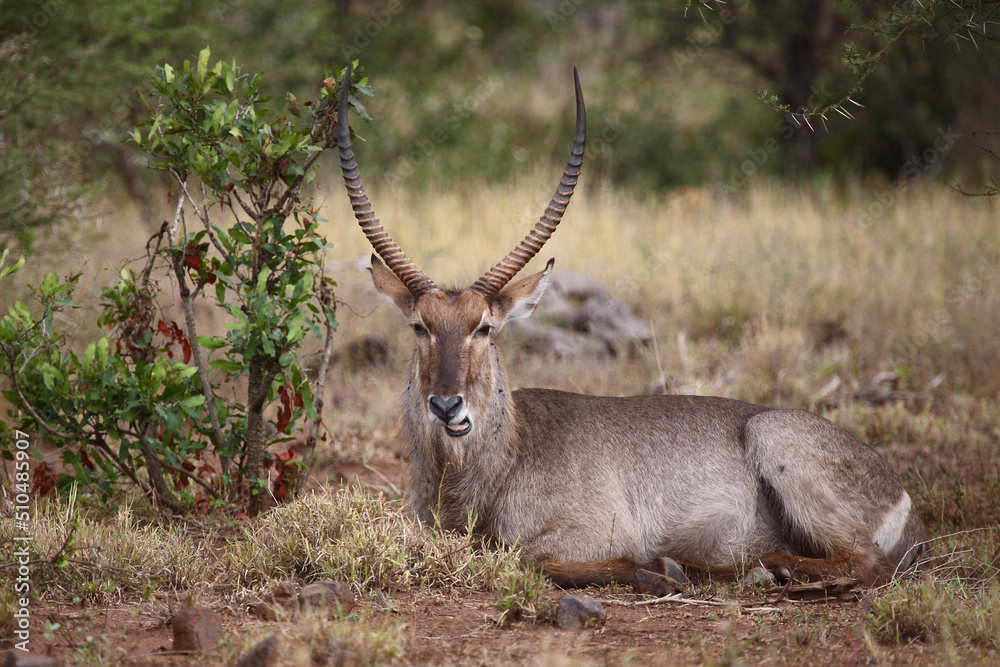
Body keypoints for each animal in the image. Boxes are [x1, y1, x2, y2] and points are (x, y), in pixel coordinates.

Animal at [335, 66, 928, 589]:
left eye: (484, 327)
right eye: (420, 326)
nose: (446, 406)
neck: (504, 456)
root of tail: (905, 501)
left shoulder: (595, 529)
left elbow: (530, 558)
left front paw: (659, 570)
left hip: (775, 438)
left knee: (867, 564)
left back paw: (761, 570)